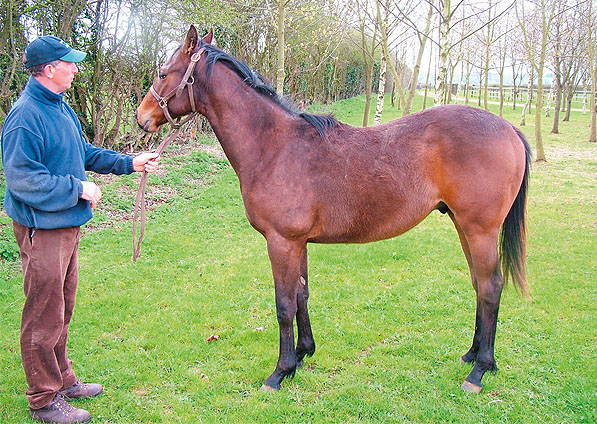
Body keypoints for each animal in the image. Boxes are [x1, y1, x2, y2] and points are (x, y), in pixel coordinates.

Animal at [137, 26, 528, 394]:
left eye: (163, 72)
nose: (141, 117)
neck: (274, 146)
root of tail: (509, 128)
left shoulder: (281, 241)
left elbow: (283, 305)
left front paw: (279, 372)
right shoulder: (298, 242)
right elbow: (301, 295)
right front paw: (302, 354)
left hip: (479, 230)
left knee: (490, 286)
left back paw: (480, 370)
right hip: (463, 226)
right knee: (479, 284)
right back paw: (472, 355)